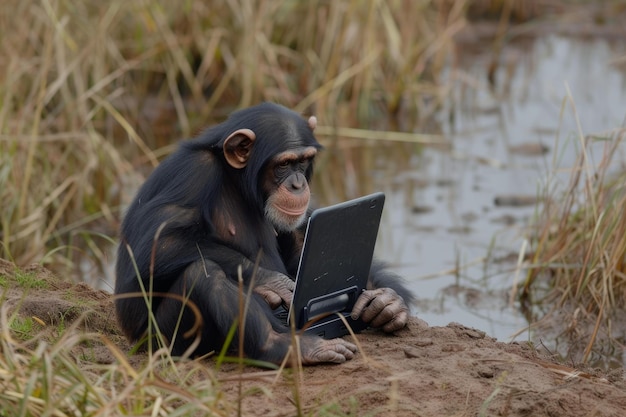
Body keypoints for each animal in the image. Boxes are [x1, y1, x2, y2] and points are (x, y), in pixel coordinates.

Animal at [114, 101, 412, 364]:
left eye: (303, 161)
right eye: (283, 164)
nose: (297, 183)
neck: (237, 181)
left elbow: (299, 250)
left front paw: (386, 302)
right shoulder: (192, 173)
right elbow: (155, 246)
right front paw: (272, 282)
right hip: (160, 341)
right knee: (203, 274)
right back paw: (288, 346)